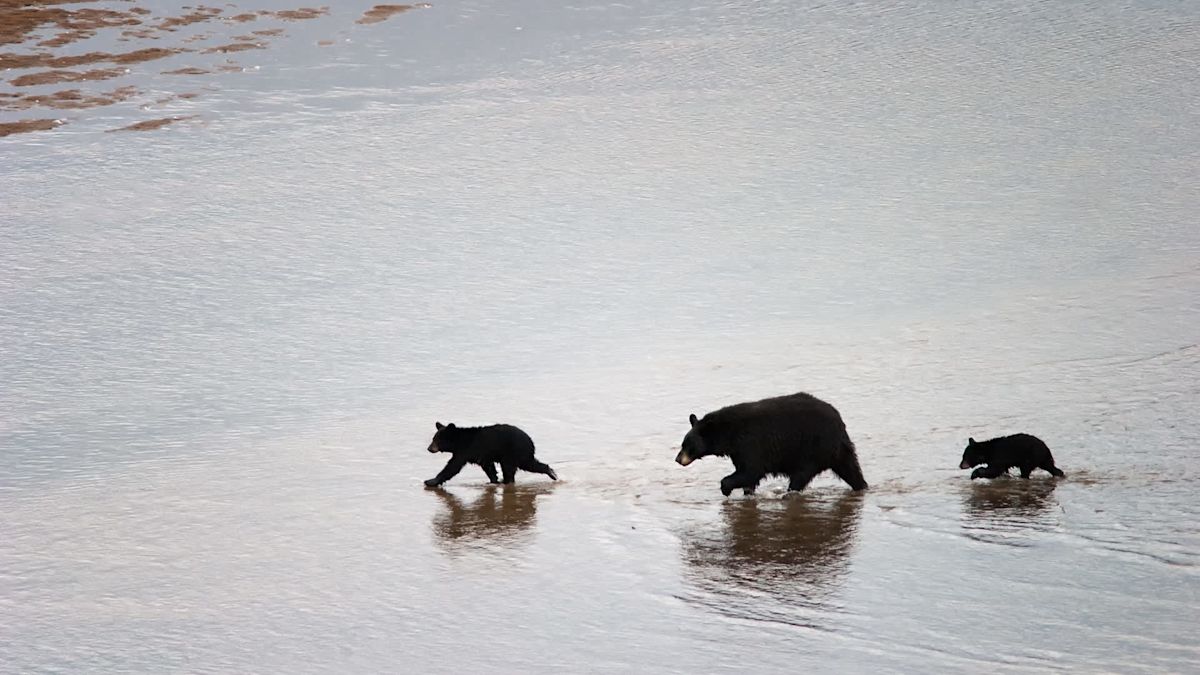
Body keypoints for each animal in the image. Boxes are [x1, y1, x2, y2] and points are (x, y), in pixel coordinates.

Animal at [424, 422, 557, 487]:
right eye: (433, 439)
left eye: (436, 440)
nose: (429, 448)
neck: (458, 441)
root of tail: (530, 440)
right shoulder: (482, 456)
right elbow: (488, 467)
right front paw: (493, 481)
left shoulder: (465, 451)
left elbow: (453, 466)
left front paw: (430, 481)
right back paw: (552, 473)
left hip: (513, 453)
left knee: (513, 467)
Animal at [676, 392, 868, 496]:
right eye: (682, 443)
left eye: (687, 445)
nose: (677, 459)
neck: (730, 433)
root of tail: (839, 422)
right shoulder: (738, 451)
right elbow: (747, 474)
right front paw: (747, 493)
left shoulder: (750, 443)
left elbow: (751, 471)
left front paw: (726, 488)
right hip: (837, 450)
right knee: (851, 469)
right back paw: (862, 486)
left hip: (812, 449)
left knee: (800, 476)